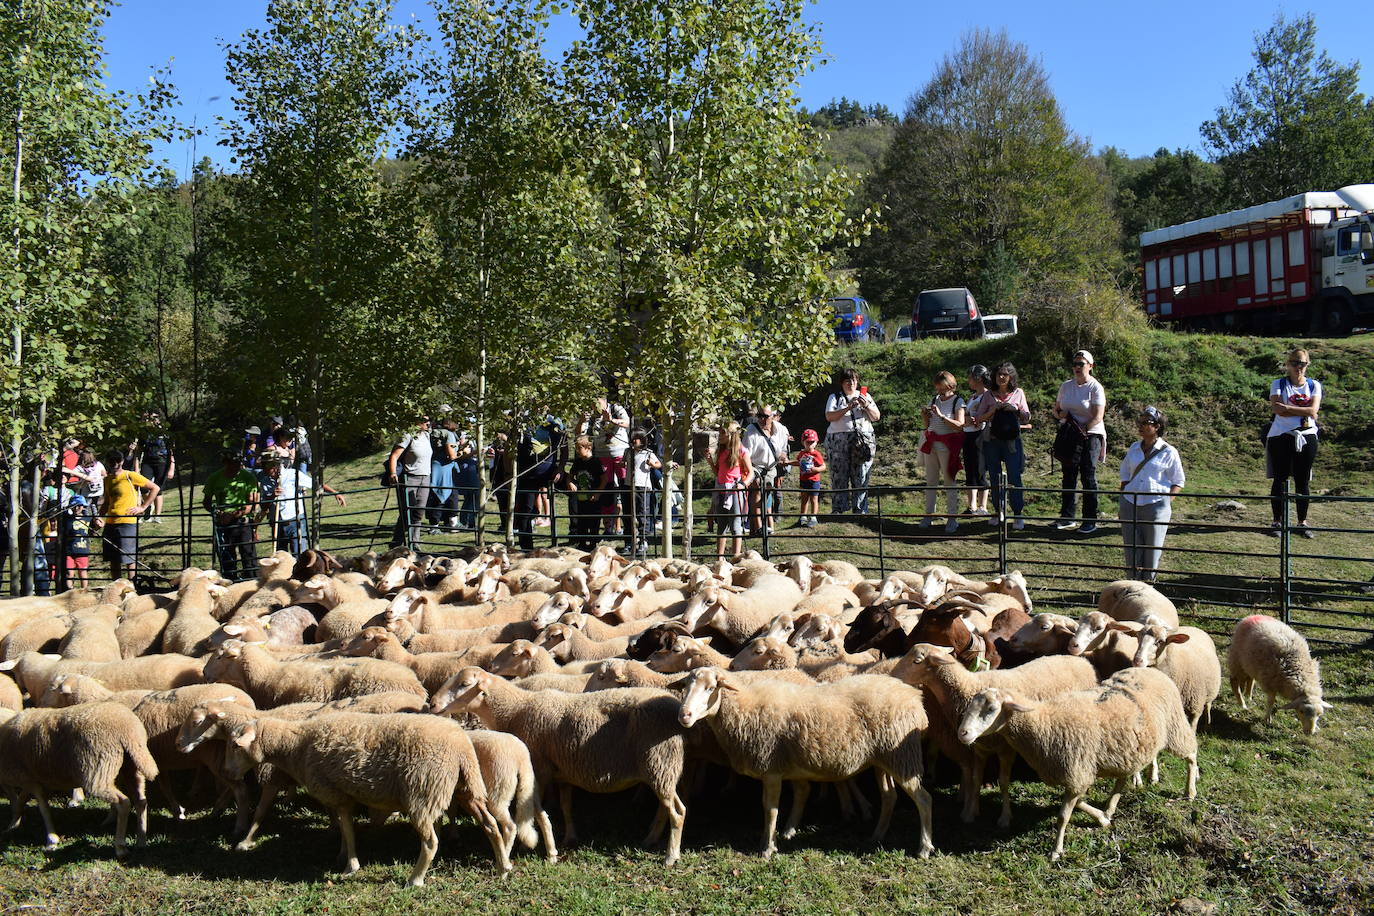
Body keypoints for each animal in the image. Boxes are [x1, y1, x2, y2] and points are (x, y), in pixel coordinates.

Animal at [961, 667, 1198, 862]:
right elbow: (1079, 801)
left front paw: (1056, 851)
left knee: (1192, 753)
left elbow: (1063, 816)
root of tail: (1153, 670)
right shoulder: (1078, 774)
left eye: (991, 708)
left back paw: (1191, 789)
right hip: (1127, 751)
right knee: (1121, 780)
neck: (1044, 722)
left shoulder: (1076, 773)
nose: (962, 733)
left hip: (1175, 727)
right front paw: (1102, 819)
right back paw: (1110, 808)